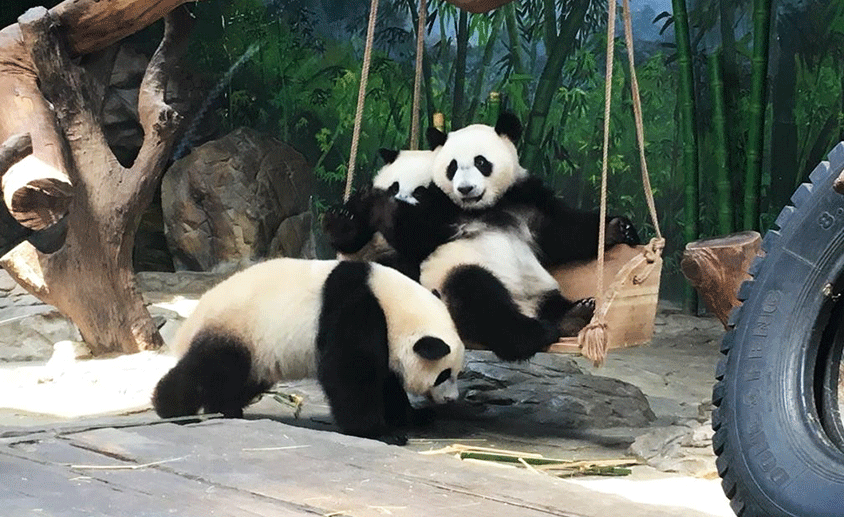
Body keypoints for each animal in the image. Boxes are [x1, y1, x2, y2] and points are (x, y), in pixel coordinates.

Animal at [154, 258, 464, 444]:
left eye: (457, 374)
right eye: (444, 374)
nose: (452, 399)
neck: (393, 304)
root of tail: (190, 321)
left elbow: (385, 382)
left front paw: (413, 417)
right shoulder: (355, 309)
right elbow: (349, 372)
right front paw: (379, 431)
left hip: (260, 353)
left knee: (239, 380)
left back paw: (225, 408)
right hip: (237, 328)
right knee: (208, 368)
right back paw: (172, 409)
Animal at [324, 113, 640, 360]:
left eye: (481, 162)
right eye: (452, 167)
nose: (465, 189)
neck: (484, 208)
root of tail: (528, 309)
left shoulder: (525, 200)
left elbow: (563, 233)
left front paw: (618, 228)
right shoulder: (442, 215)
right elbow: (416, 233)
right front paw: (367, 204)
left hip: (542, 287)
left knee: (547, 303)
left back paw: (572, 315)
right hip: (453, 280)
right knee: (479, 297)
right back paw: (536, 333)